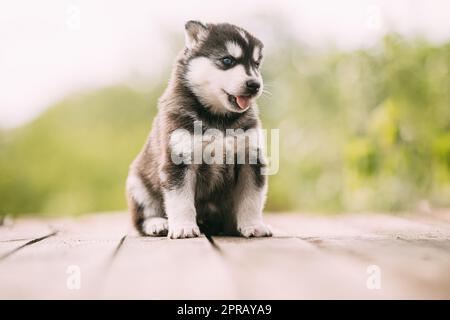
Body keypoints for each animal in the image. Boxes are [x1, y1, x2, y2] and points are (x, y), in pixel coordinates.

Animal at [125, 20, 270, 238]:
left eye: (256, 64)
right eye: (227, 60)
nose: (255, 85)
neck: (219, 120)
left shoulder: (250, 158)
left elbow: (251, 199)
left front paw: (254, 225)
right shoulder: (178, 159)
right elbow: (181, 201)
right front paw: (184, 227)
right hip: (137, 184)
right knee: (142, 218)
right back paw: (158, 224)